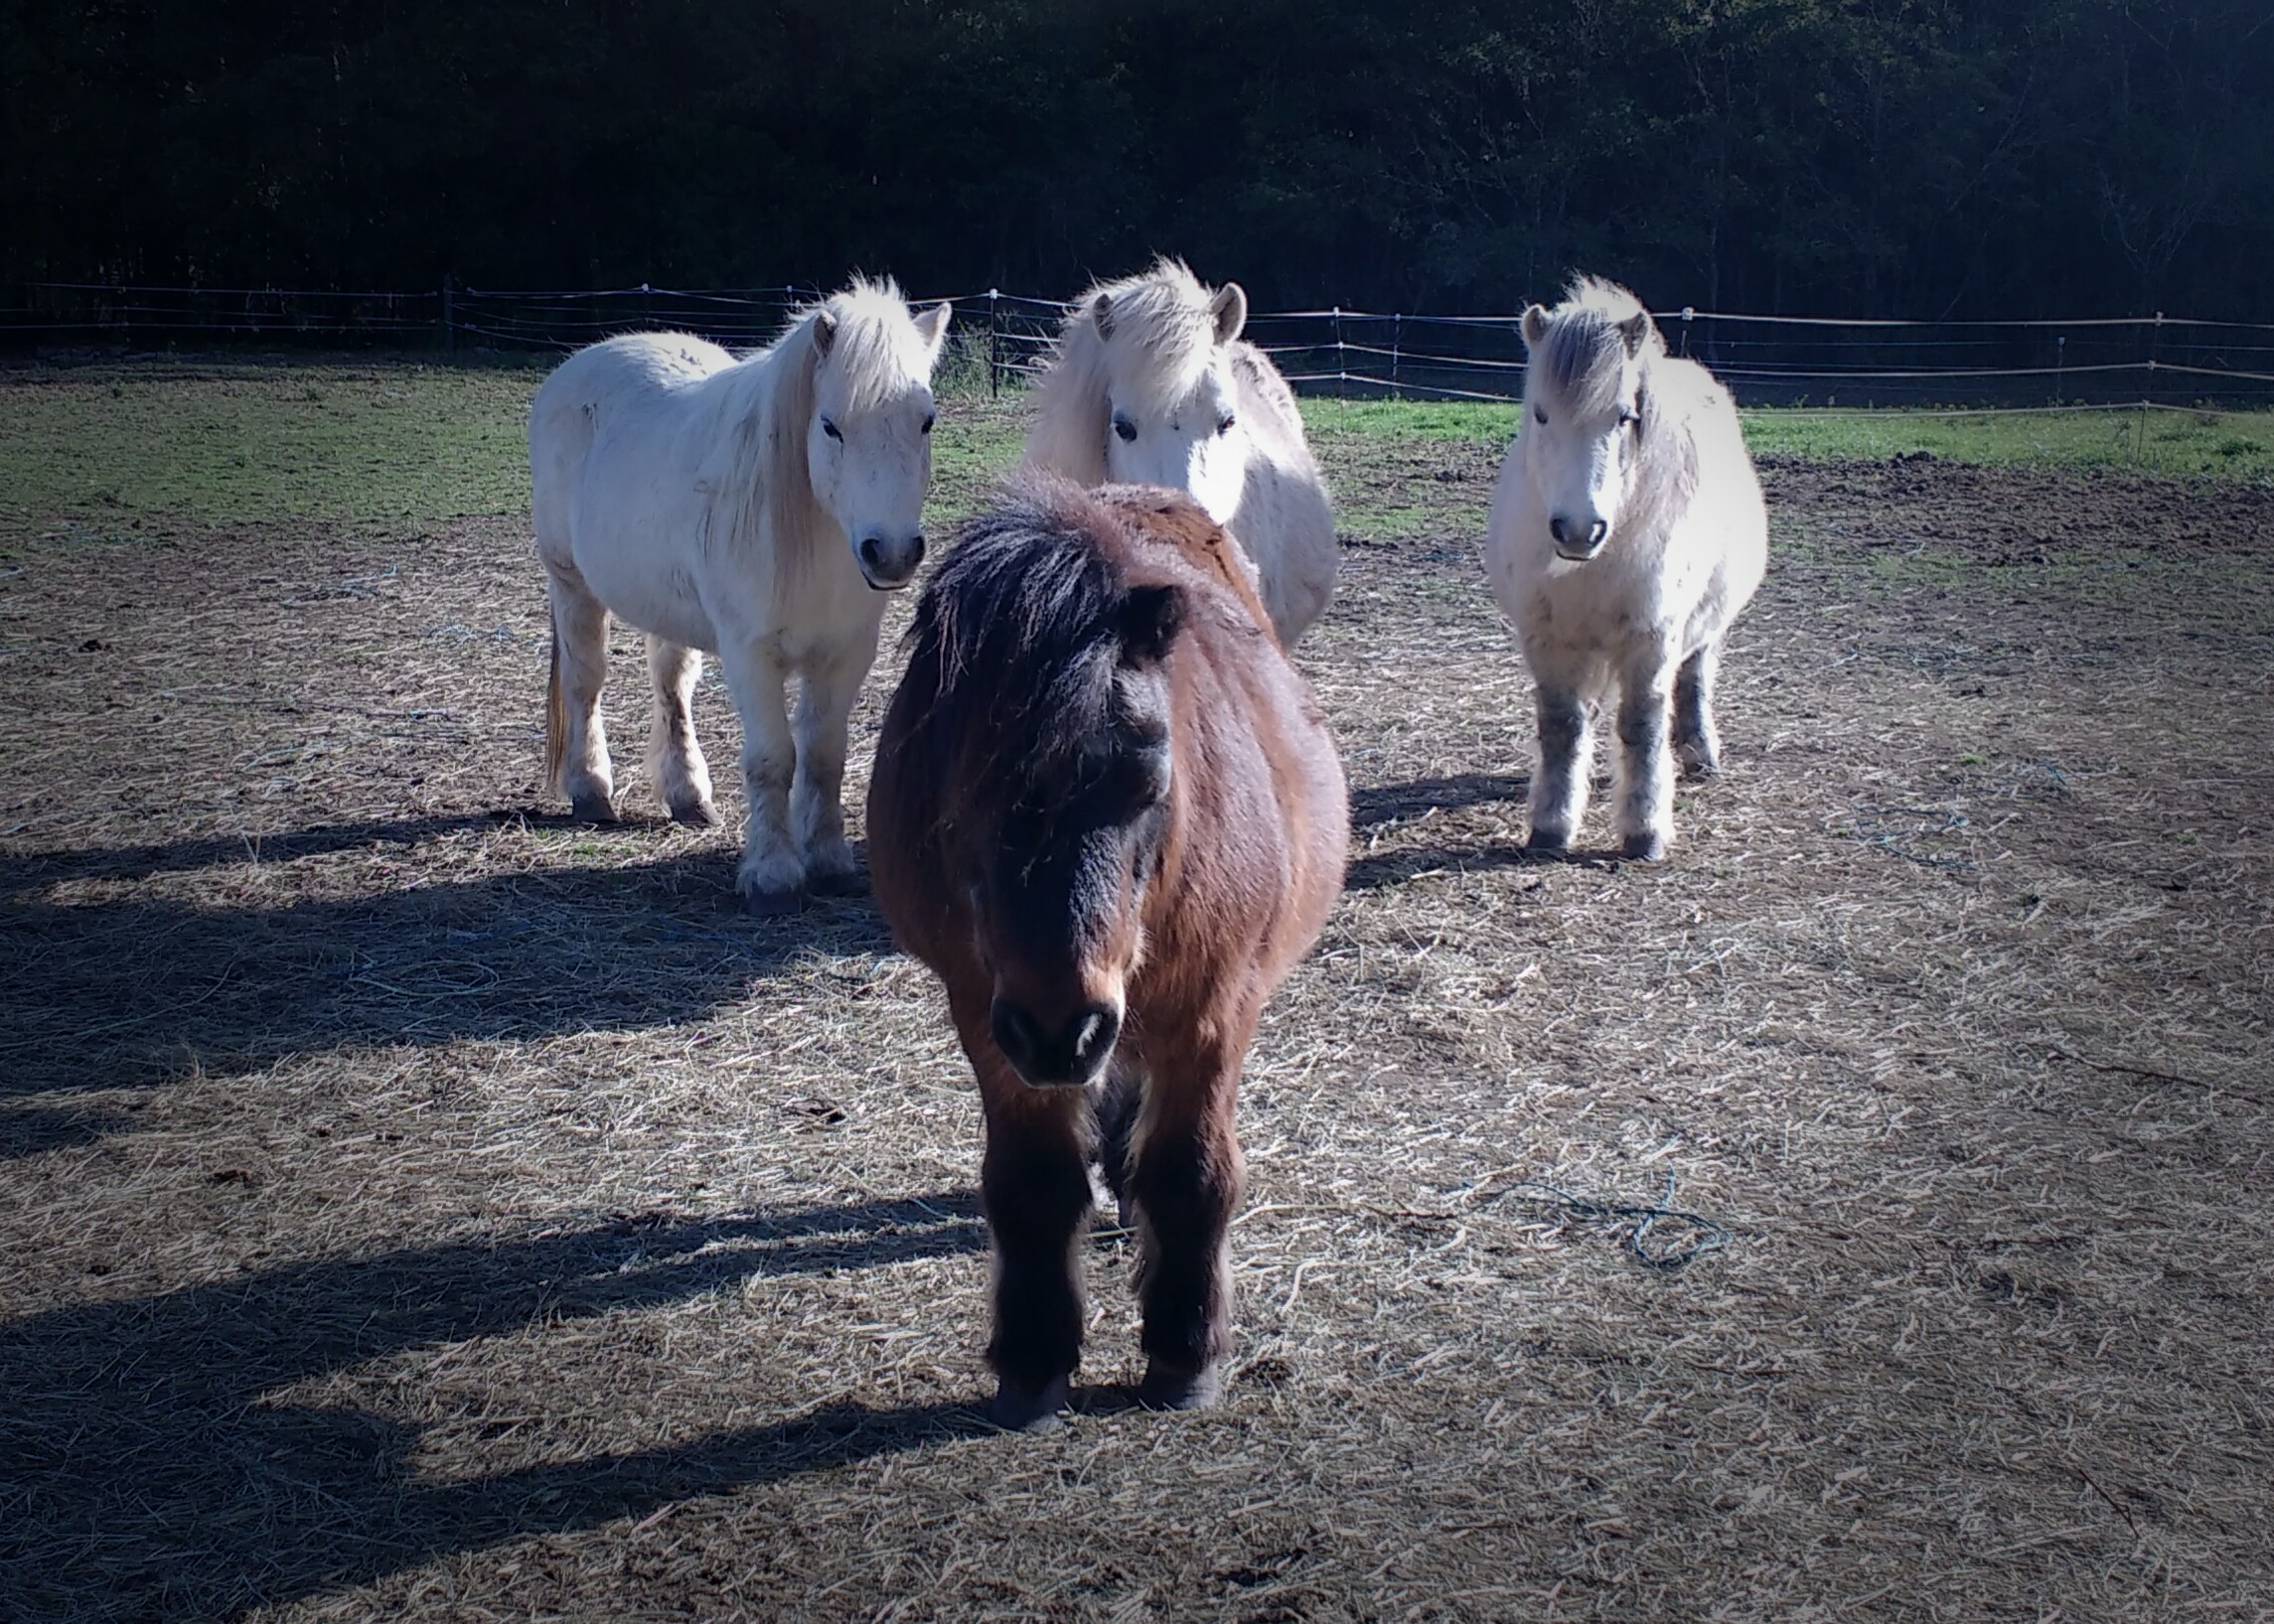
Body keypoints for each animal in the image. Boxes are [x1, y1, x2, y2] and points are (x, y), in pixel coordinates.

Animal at [528, 280, 951, 911]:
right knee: (585, 686)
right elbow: (773, 759)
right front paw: (773, 874)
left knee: (671, 687)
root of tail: (574, 368)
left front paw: (829, 860)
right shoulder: (753, 655)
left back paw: (688, 796)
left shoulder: (846, 655)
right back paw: (591, 791)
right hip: (572, 586)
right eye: (831, 426)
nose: (892, 552)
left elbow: (824, 755)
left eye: (925, 422)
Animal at [867, 478, 1349, 1430]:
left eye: (1148, 778)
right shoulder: (992, 1026)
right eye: (961, 793)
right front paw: (1033, 1360)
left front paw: (1184, 1354)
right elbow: (1032, 1185)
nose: (1063, 1030)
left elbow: (1192, 1174)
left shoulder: (1212, 1015)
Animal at [1483, 276, 1767, 860]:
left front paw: (1645, 832)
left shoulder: (1651, 640)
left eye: (1624, 417)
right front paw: (1551, 826)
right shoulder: (1548, 642)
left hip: (1706, 627)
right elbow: (1563, 728)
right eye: (1540, 414)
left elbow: (1642, 726)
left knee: (1694, 679)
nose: (1577, 530)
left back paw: (1700, 752)